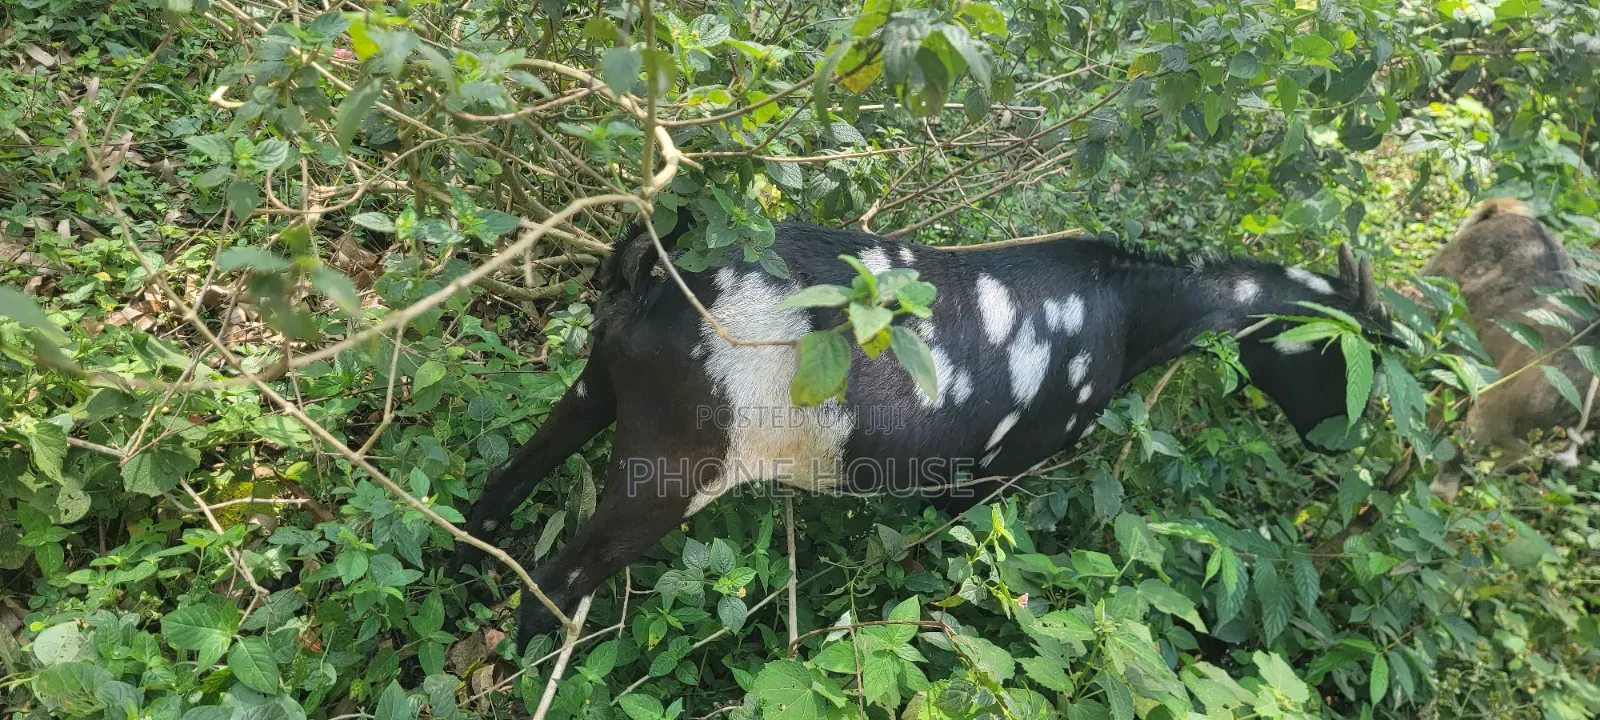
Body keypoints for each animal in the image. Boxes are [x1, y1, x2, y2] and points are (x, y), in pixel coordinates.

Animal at [452, 213, 1393, 648]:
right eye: (1355, 357)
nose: (1338, 444)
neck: (1125, 309)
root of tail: (655, 275)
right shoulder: (1000, 471)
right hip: (675, 462)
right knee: (556, 581)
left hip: (597, 387)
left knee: (499, 490)